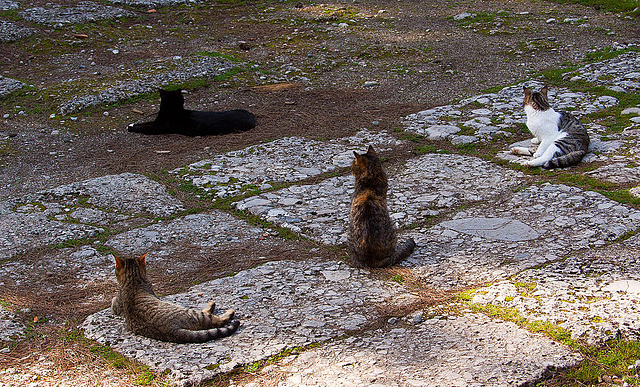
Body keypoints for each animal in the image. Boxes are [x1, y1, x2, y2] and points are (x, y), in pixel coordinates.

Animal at [127, 88, 258, 137]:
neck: (172, 110)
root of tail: (252, 116)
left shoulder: (157, 128)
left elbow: (144, 127)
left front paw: (131, 127)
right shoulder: (155, 122)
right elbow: (145, 122)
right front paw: (132, 124)